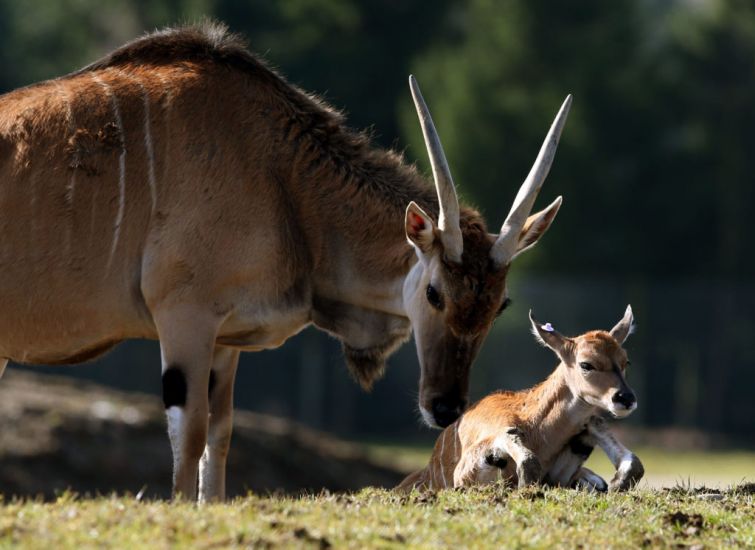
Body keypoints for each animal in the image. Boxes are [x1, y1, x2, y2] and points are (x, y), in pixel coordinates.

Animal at [0, 23, 572, 502]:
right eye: (434, 292)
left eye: (499, 306)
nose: (446, 407)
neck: (279, 173)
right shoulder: (185, 318)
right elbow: (190, 433)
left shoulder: (224, 341)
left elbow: (220, 435)